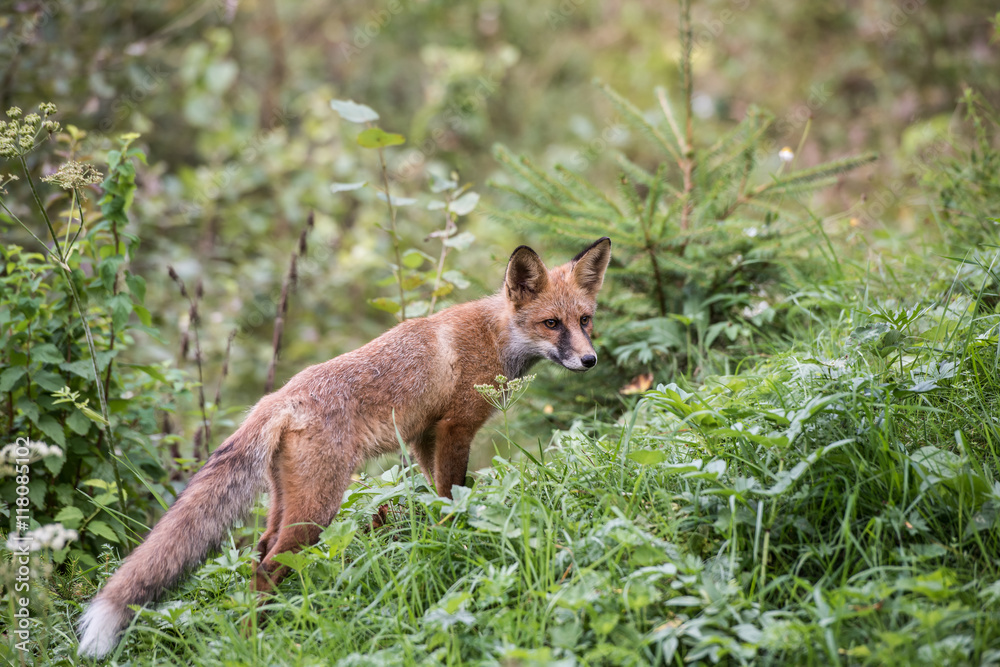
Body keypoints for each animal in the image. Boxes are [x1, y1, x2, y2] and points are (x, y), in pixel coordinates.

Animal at [76, 237, 611, 659]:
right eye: (551, 324)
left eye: (585, 320)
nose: (590, 360)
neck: (495, 338)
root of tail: (279, 397)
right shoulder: (455, 428)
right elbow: (451, 493)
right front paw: (452, 536)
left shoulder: (422, 435)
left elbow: (438, 491)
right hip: (318, 507)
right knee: (267, 567)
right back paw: (255, 643)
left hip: (288, 502)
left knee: (260, 553)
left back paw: (279, 622)